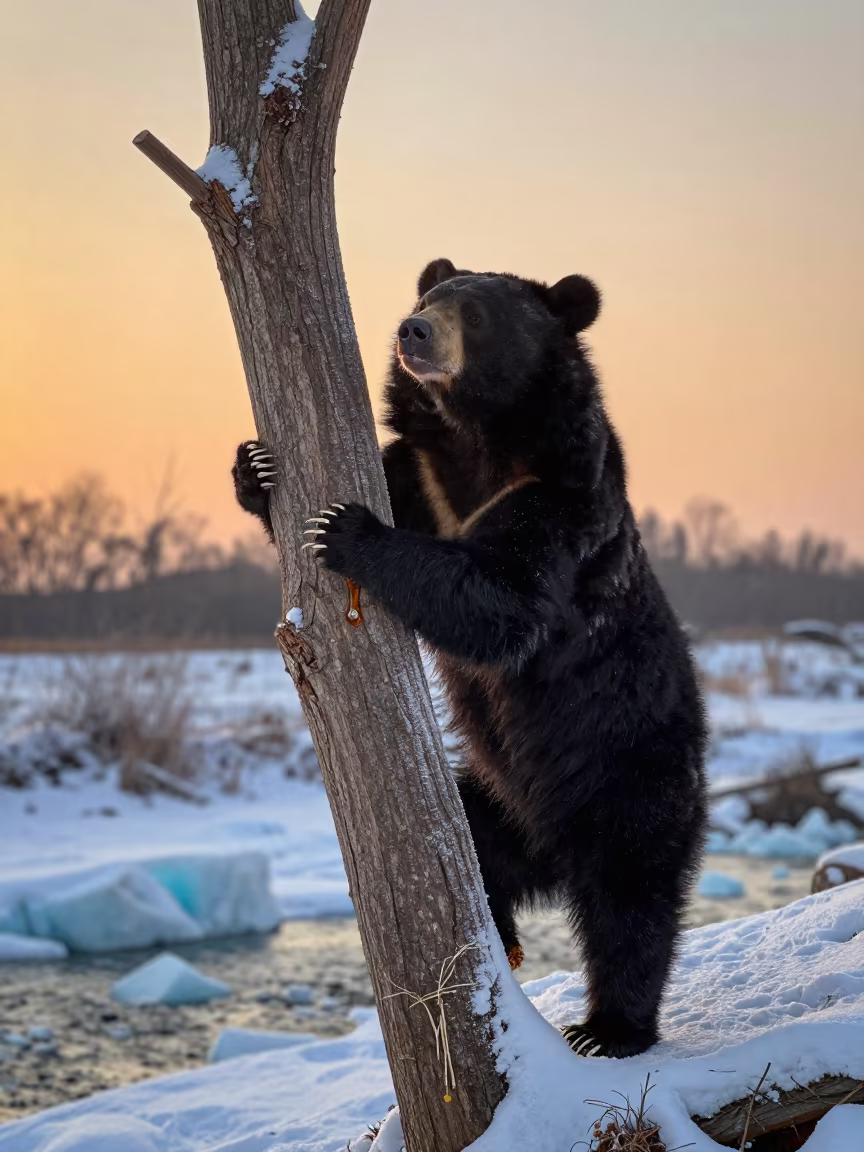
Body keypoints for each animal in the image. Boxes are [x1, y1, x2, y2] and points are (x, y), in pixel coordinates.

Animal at [233, 258, 708, 1058]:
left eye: (478, 315)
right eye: (428, 296)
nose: (413, 332)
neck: (482, 436)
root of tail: (552, 842)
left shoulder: (559, 504)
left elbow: (500, 600)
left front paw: (346, 529)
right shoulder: (426, 478)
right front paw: (257, 467)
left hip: (629, 775)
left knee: (632, 901)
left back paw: (608, 1030)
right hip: (494, 795)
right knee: (482, 849)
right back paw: (508, 935)